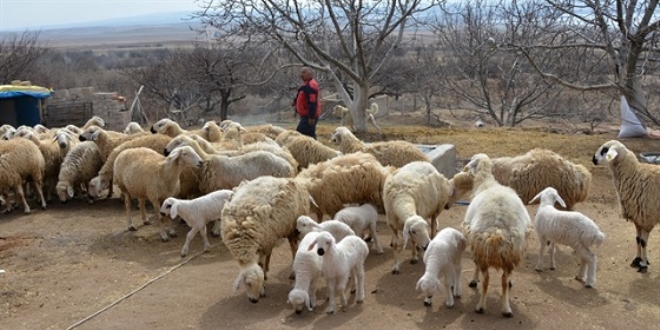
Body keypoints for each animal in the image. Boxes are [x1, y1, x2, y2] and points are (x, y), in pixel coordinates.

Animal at [464, 153, 532, 318]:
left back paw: (481, 306)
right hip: (511, 252)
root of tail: (497, 231)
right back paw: (506, 308)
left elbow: (475, 266)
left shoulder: (474, 243)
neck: (486, 182)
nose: (465, 169)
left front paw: (473, 280)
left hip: (483, 248)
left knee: (487, 279)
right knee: (504, 279)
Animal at [592, 140, 656, 274]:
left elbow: (643, 242)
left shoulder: (647, 219)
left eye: (605, 150)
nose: (593, 159)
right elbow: (638, 239)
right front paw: (637, 259)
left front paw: (643, 264)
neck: (634, 175)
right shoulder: (638, 219)